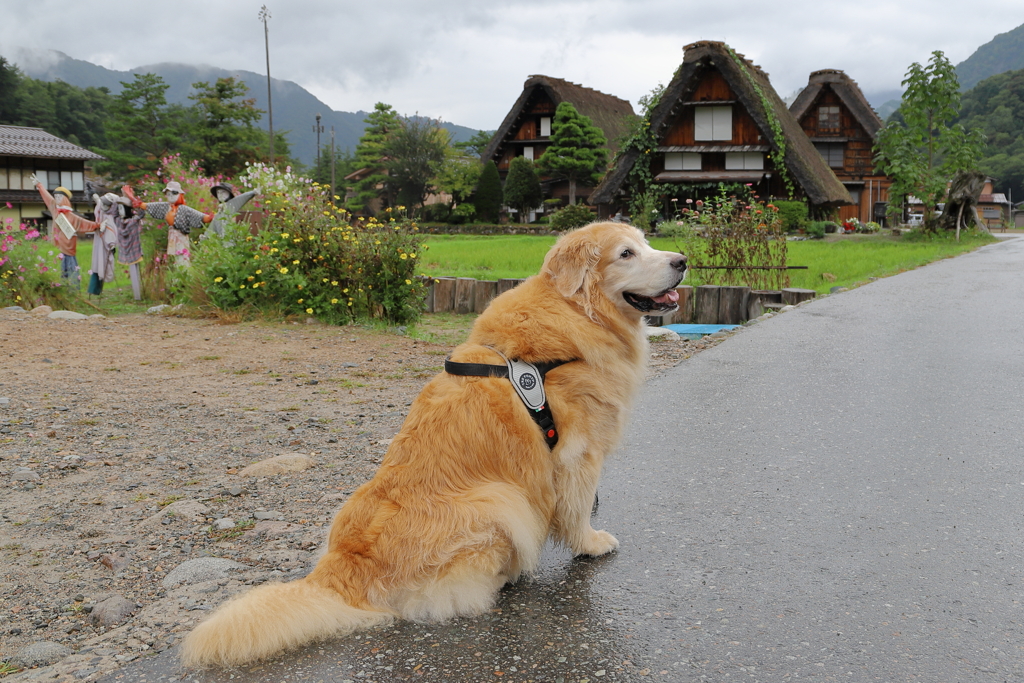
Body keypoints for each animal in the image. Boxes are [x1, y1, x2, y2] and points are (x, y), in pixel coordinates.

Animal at [182, 223, 688, 667]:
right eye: (626, 253)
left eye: (647, 242)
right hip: (500, 500)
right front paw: (591, 543)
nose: (682, 260)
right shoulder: (578, 453)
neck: (579, 313)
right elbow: (578, 509)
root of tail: (339, 574)